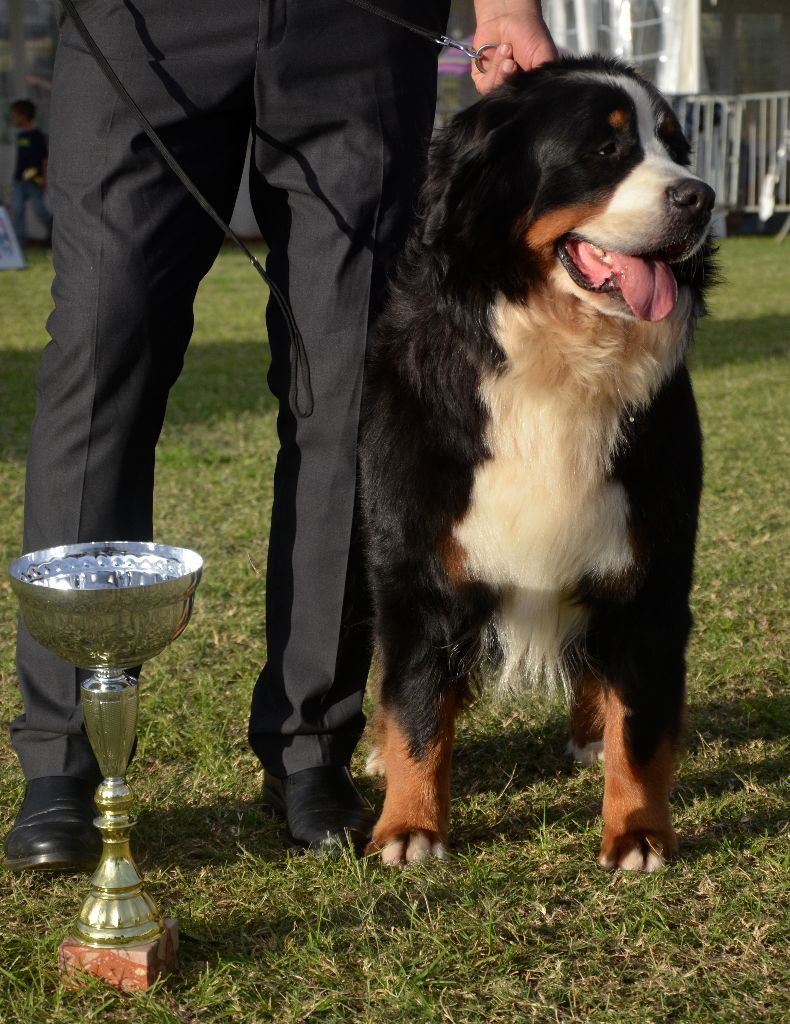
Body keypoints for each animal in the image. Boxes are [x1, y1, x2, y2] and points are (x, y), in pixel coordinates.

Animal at [358, 56, 717, 872]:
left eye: (677, 145)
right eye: (605, 151)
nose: (702, 198)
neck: (561, 360)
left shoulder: (647, 563)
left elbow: (640, 720)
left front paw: (637, 831)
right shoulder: (418, 558)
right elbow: (418, 701)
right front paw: (410, 825)